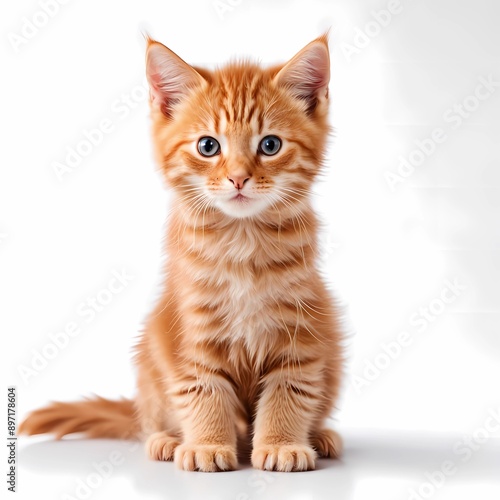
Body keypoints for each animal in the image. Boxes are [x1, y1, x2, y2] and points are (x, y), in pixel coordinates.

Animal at [18, 35, 344, 472]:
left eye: (270, 145)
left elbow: (288, 391)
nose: (238, 178)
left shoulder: (302, 332)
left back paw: (320, 436)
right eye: (208, 146)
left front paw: (280, 444)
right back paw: (167, 440)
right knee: (152, 419)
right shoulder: (187, 334)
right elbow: (203, 390)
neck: (242, 241)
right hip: (149, 363)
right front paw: (207, 444)